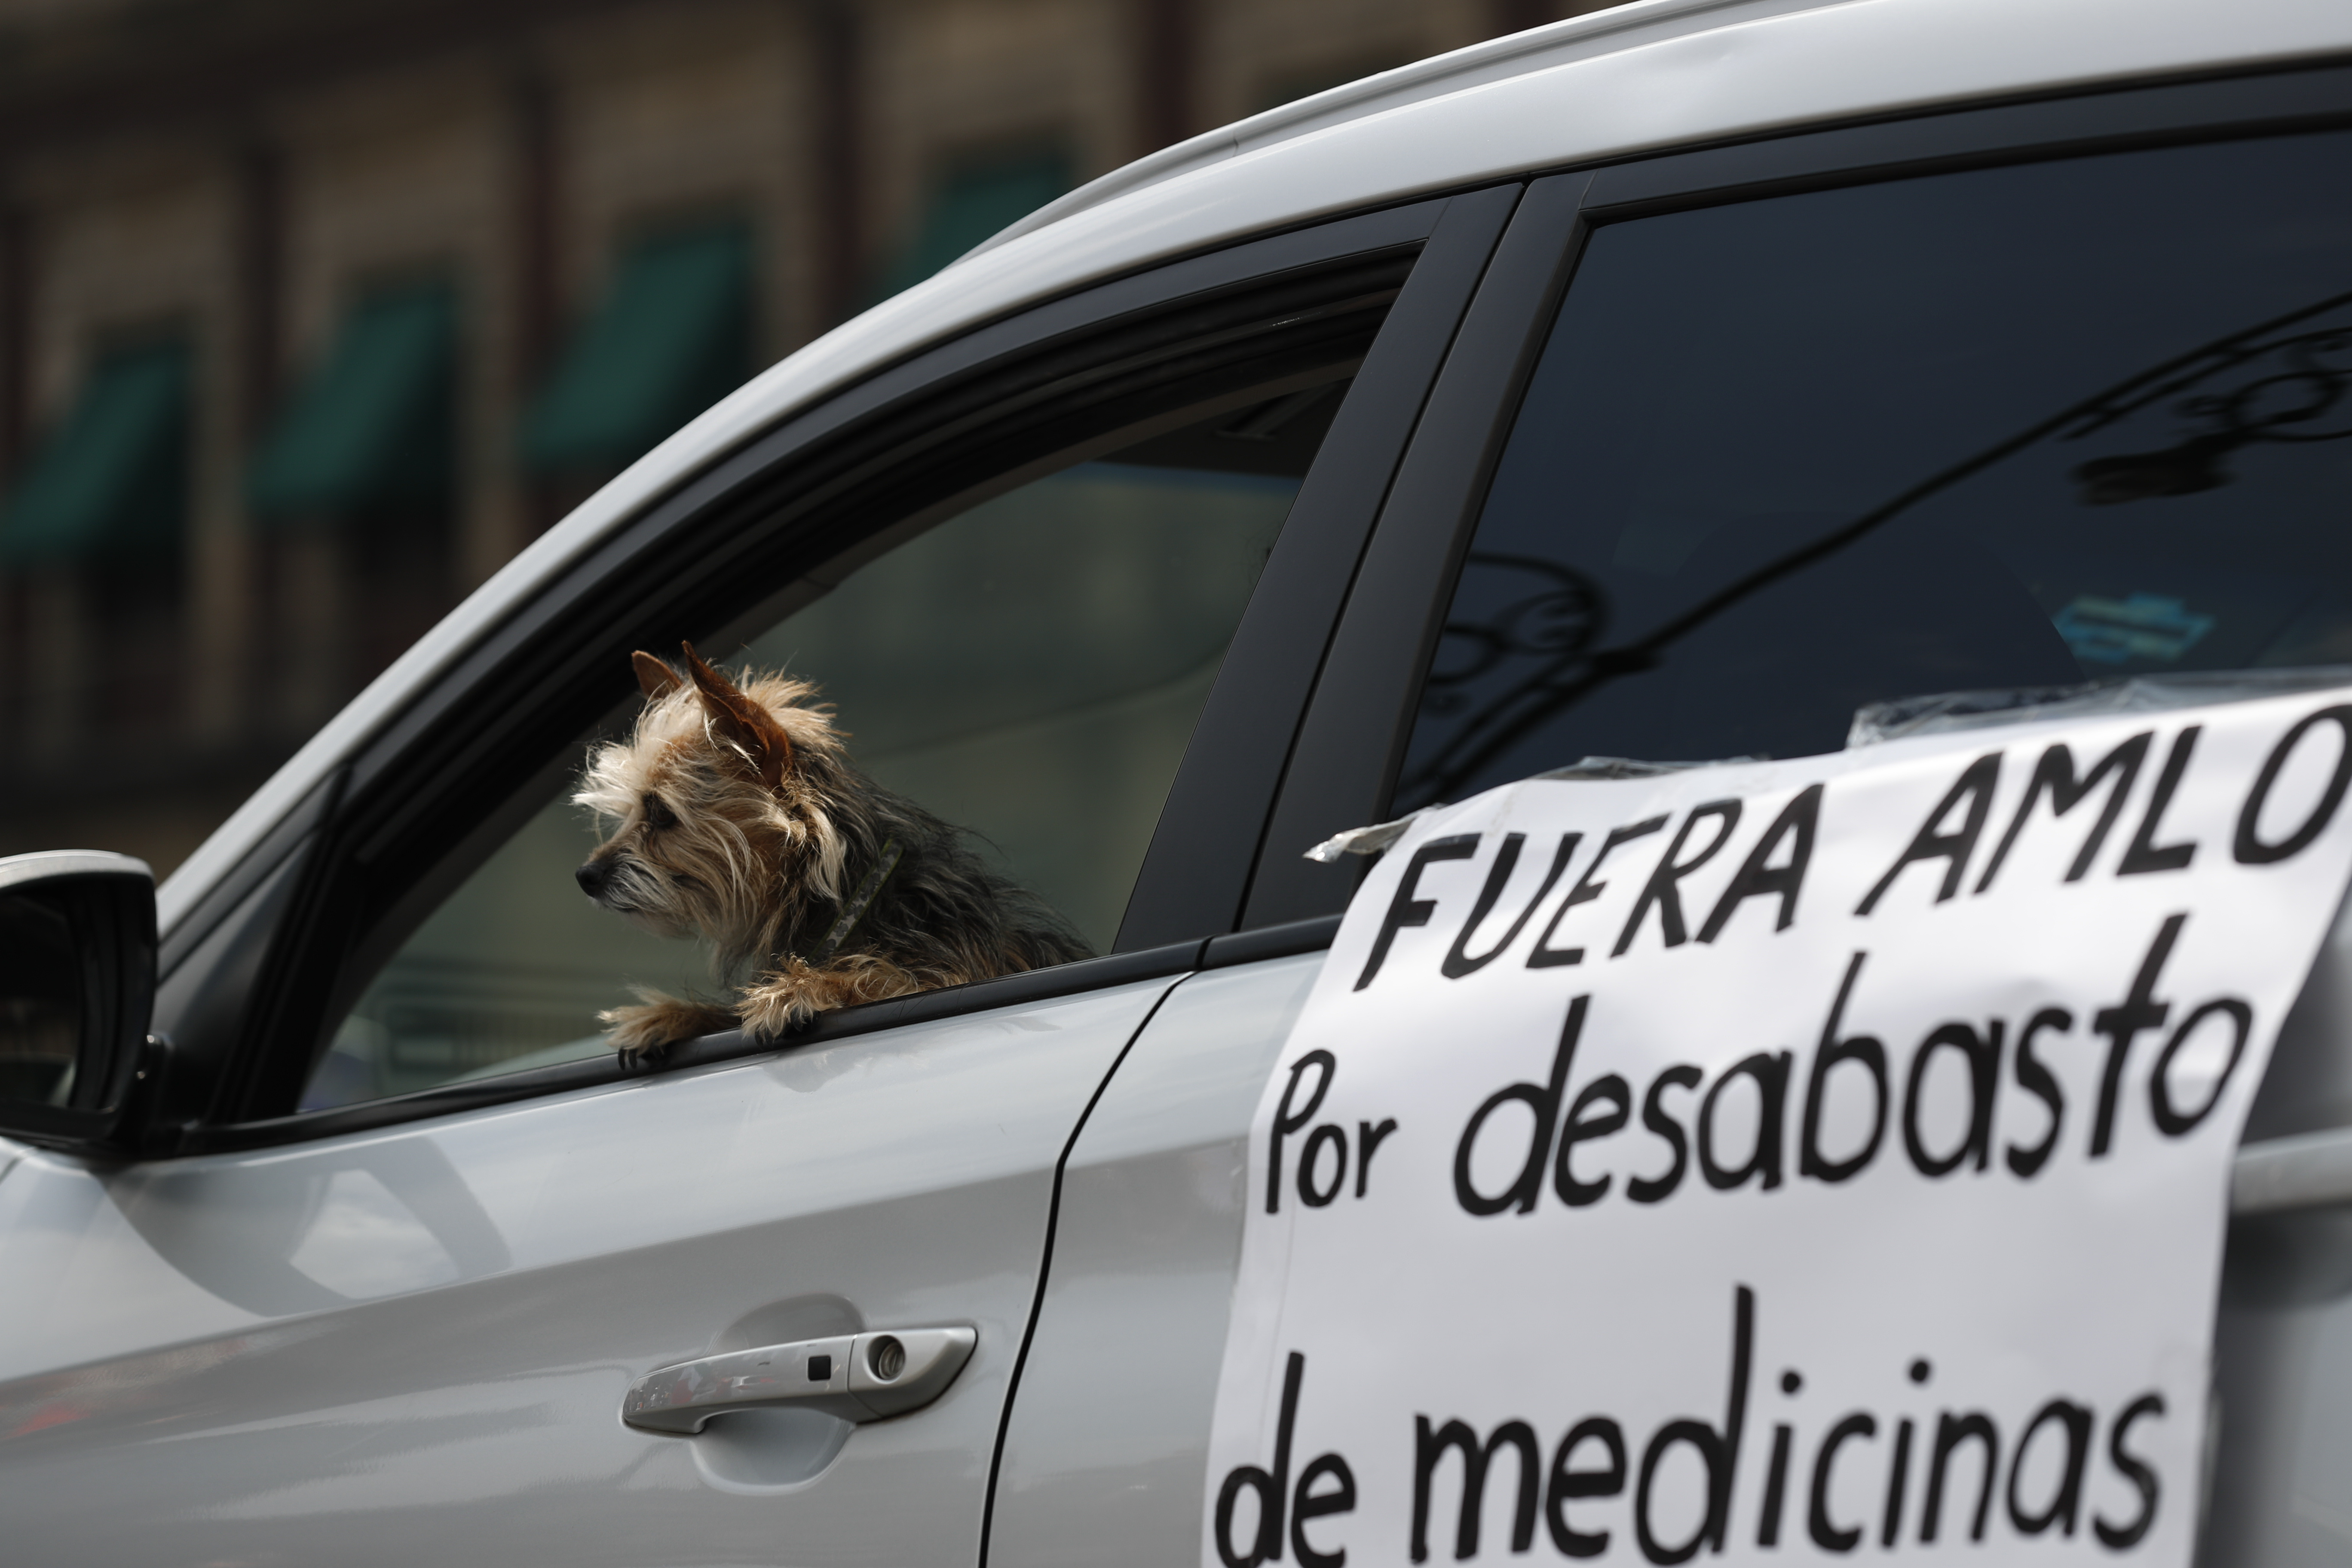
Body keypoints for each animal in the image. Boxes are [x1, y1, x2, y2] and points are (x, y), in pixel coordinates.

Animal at [574, 644, 1087, 1063]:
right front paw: (670, 1015)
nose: (586, 876)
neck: (852, 902)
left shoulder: (967, 972)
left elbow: (894, 978)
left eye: (661, 814)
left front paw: (803, 988)